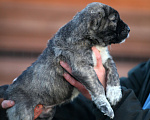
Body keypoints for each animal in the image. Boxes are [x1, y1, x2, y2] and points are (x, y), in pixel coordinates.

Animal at [0, 2, 129, 119]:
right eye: (114, 20)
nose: (129, 29)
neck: (90, 40)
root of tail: (8, 91)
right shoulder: (82, 67)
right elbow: (97, 86)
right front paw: (105, 106)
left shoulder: (106, 59)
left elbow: (114, 72)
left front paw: (115, 93)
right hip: (24, 112)